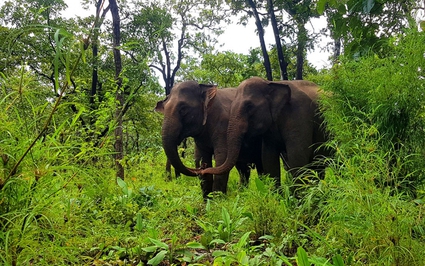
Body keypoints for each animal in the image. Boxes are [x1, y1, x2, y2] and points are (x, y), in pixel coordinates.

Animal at [200, 77, 328, 188]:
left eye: (249, 106)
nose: (202, 170)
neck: (270, 83)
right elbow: (268, 158)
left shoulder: (299, 115)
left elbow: (297, 155)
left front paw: (298, 198)